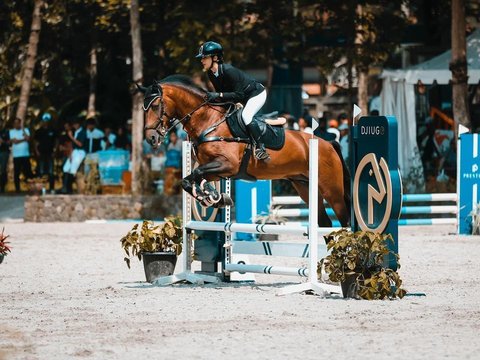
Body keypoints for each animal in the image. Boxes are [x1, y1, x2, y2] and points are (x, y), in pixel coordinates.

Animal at [141, 75, 350, 228]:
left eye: (155, 106)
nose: (151, 138)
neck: (208, 121)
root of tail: (329, 143)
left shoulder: (228, 165)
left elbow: (197, 173)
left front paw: (211, 197)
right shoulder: (216, 169)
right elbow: (189, 180)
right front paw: (215, 198)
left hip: (332, 189)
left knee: (344, 219)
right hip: (304, 186)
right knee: (325, 222)